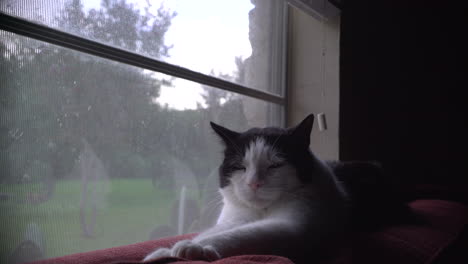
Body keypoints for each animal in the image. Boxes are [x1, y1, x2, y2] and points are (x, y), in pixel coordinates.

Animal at [144, 114, 350, 262]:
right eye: (240, 167)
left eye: (275, 165)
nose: (253, 183)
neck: (261, 211)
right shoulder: (235, 218)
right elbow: (214, 231)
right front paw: (163, 252)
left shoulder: (295, 227)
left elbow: (240, 235)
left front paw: (196, 247)